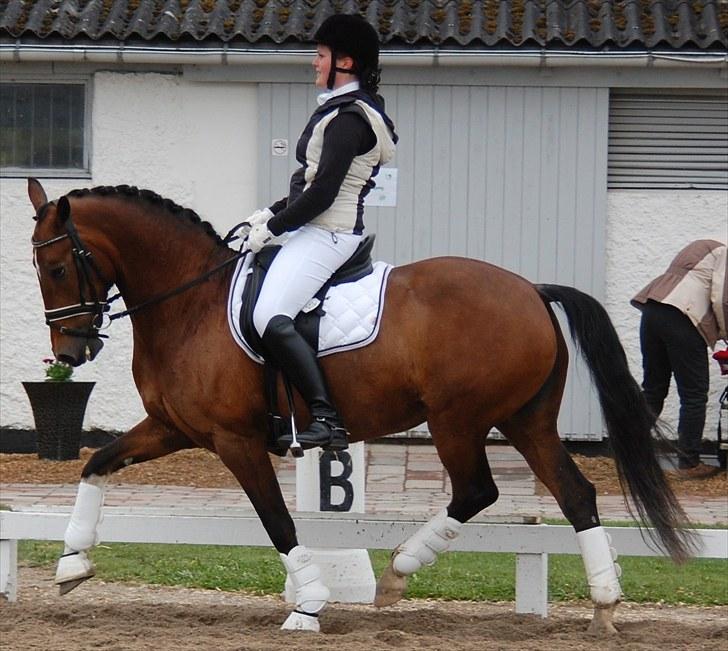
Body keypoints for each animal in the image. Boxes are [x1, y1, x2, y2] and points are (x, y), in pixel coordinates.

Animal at [25, 180, 692, 636]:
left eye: (56, 266)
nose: (71, 350)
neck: (190, 302)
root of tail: (531, 288)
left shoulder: (235, 441)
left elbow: (277, 521)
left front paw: (308, 605)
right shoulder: (173, 428)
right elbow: (97, 463)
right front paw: (72, 564)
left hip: (458, 421)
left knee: (478, 490)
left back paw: (398, 572)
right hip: (525, 420)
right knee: (575, 493)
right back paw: (603, 604)